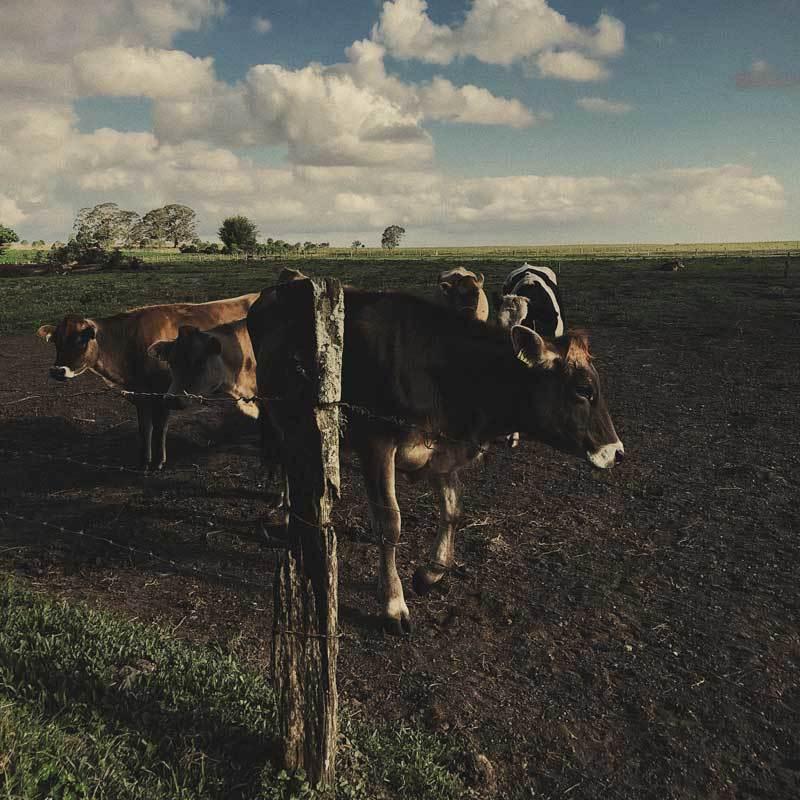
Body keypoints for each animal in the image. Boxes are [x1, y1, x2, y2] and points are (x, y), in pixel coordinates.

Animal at [36, 294, 259, 469]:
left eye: (81, 340)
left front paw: (159, 462)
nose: (57, 371)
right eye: (56, 341)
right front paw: (144, 461)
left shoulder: (163, 393)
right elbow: (145, 428)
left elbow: (160, 428)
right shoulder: (140, 395)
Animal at [248, 284, 624, 634]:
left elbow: (453, 510)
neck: (441, 372)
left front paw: (431, 572)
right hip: (280, 414)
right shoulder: (377, 444)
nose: (617, 452)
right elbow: (390, 523)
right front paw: (393, 604)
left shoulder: (444, 448)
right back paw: (285, 513)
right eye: (584, 390)